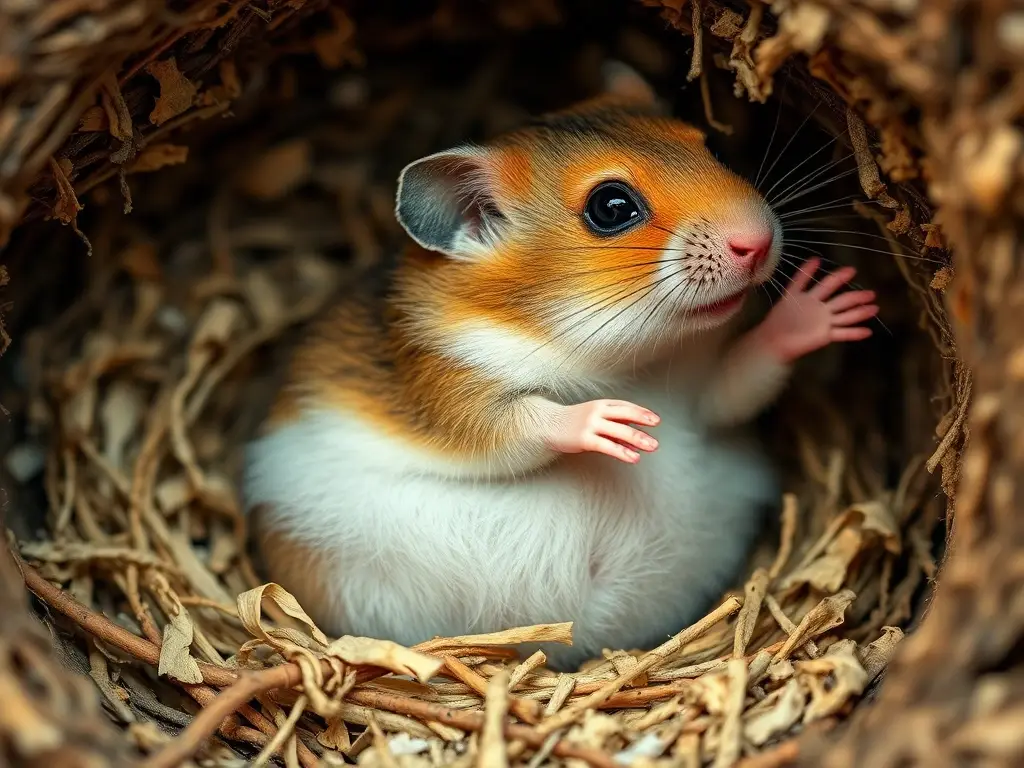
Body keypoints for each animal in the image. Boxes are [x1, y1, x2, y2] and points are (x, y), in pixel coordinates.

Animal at [242, 64, 878, 670]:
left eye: (709, 147)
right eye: (611, 207)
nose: (759, 241)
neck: (618, 356)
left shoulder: (700, 396)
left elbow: (743, 376)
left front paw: (825, 306)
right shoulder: (445, 384)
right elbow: (518, 422)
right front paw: (613, 424)